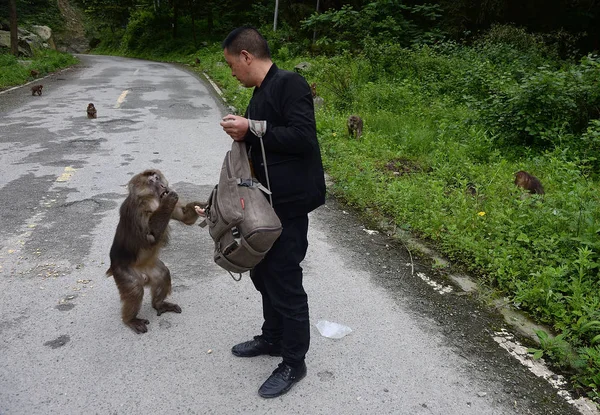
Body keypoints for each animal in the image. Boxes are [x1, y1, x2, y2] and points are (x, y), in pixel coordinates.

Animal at [108, 169, 209, 334]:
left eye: (157, 177)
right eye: (152, 181)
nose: (162, 185)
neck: (151, 199)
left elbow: (185, 218)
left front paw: (200, 206)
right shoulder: (136, 209)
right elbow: (150, 237)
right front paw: (169, 199)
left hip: (150, 269)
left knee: (163, 274)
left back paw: (159, 304)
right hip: (123, 272)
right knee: (135, 289)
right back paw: (130, 320)